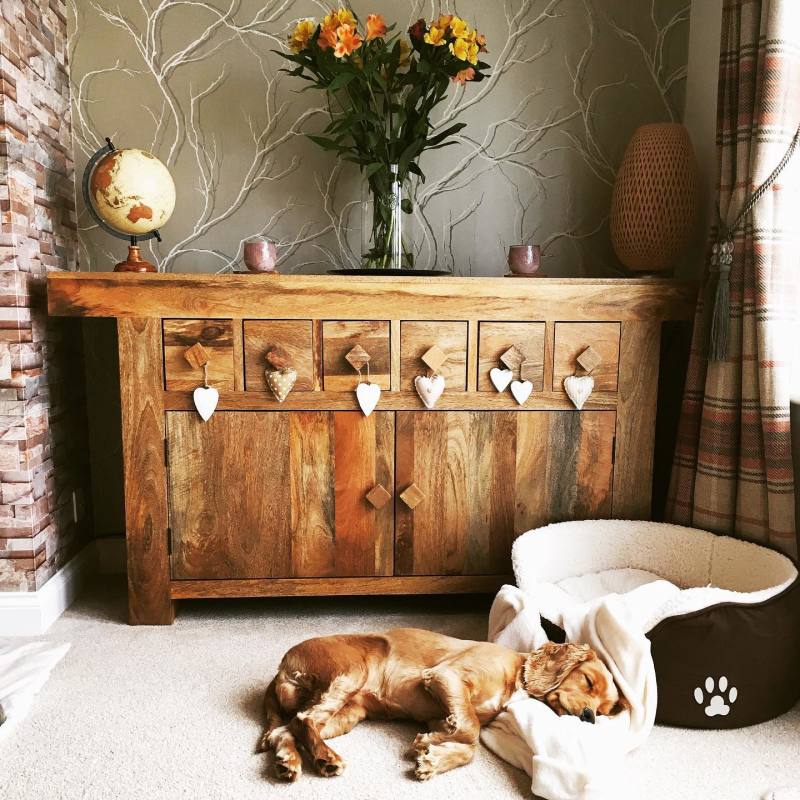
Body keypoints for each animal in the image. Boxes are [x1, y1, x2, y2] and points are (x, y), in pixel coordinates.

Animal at [260, 624, 628, 780]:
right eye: (588, 681)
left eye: (604, 711)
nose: (589, 717)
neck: (515, 676)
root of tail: (281, 667)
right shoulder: (445, 676)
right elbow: (472, 732)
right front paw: (431, 744)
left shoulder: (441, 709)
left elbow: (467, 740)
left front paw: (434, 757)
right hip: (350, 673)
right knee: (304, 720)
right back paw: (326, 759)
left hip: (349, 711)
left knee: (288, 729)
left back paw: (289, 762)